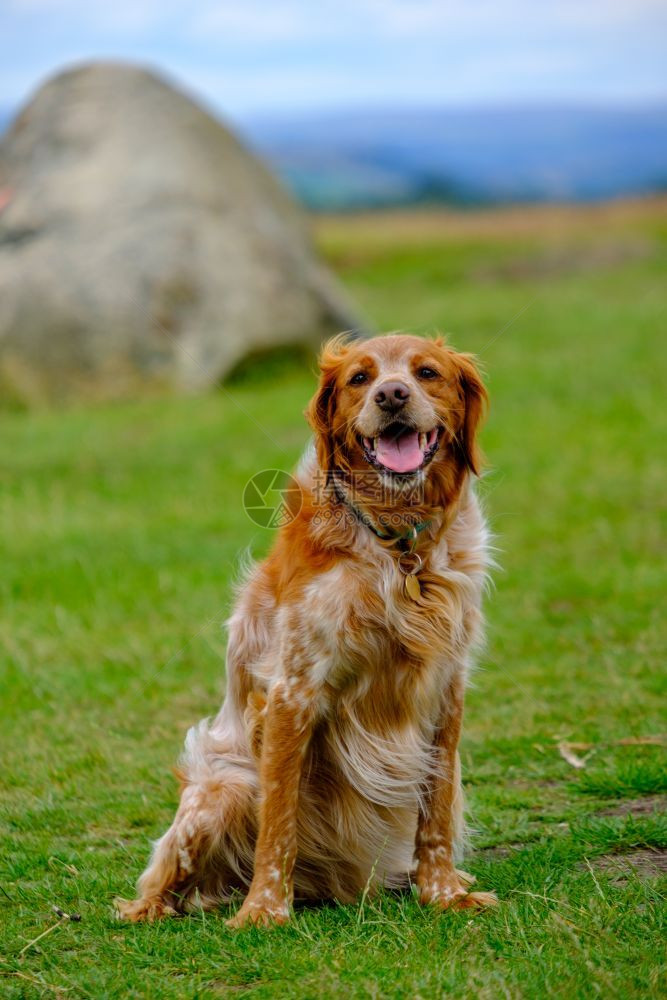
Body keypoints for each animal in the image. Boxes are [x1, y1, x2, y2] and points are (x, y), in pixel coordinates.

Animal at [117, 332, 498, 924]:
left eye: (427, 372)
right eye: (360, 378)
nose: (392, 395)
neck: (398, 550)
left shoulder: (446, 688)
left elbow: (432, 813)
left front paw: (443, 893)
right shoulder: (293, 692)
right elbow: (279, 822)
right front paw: (263, 911)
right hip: (221, 789)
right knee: (159, 889)